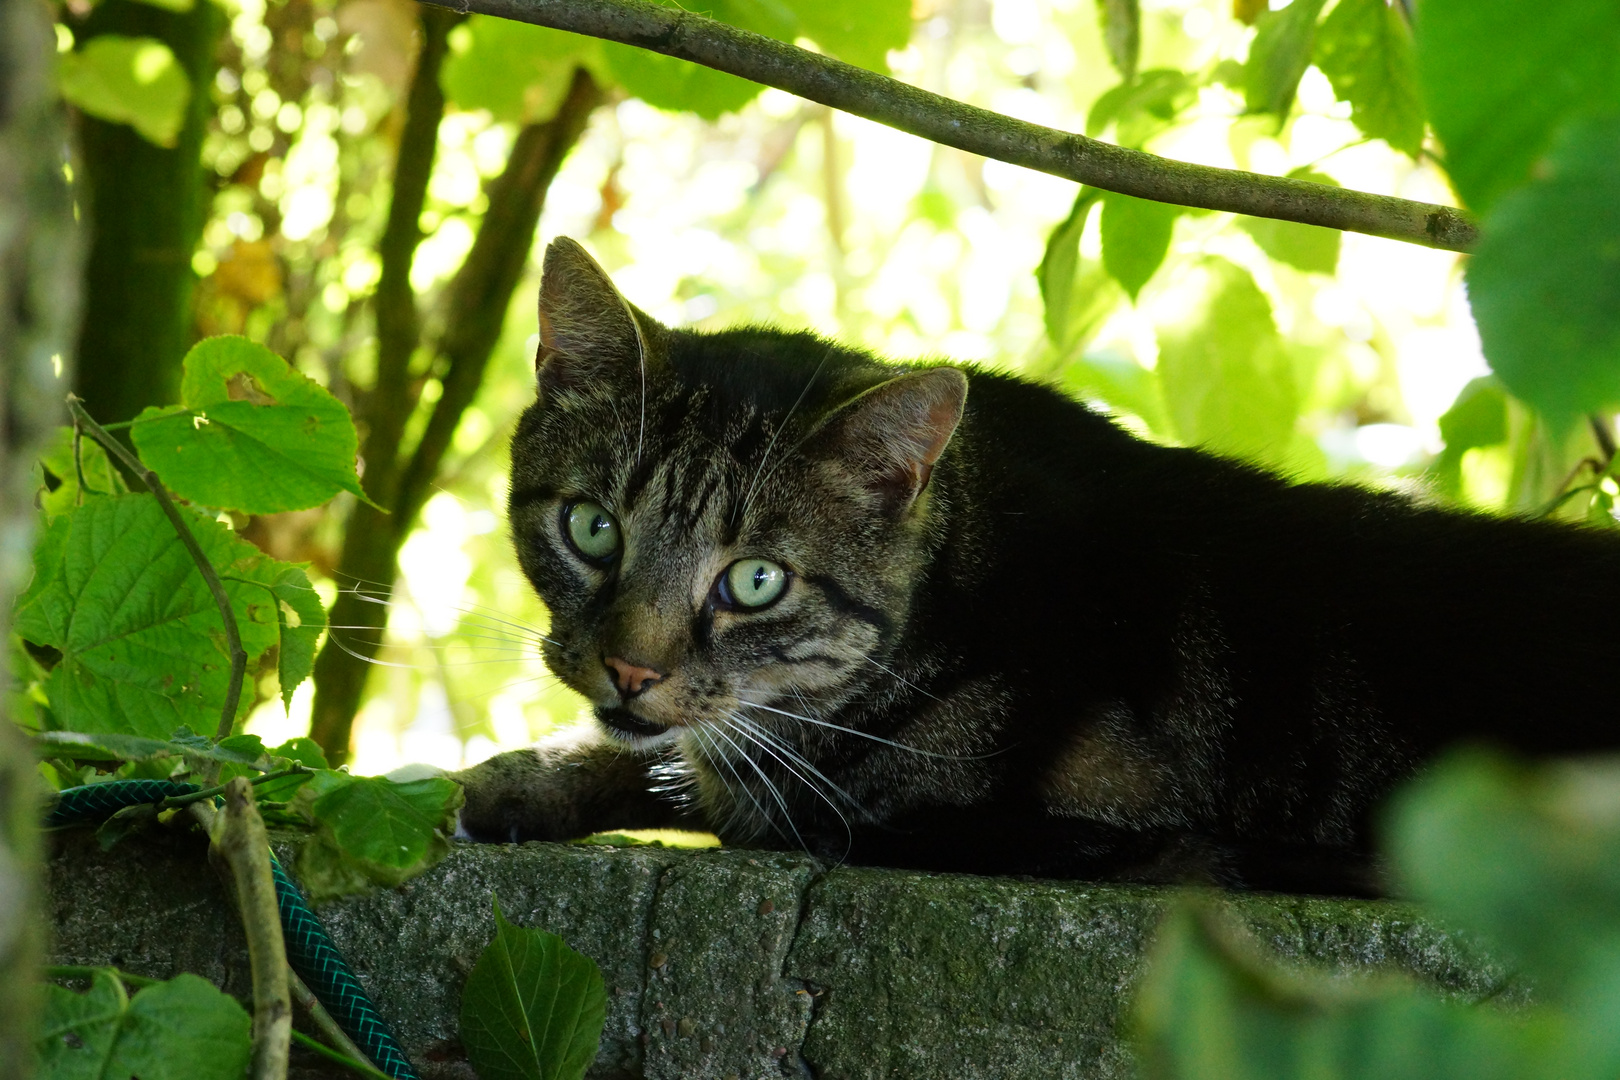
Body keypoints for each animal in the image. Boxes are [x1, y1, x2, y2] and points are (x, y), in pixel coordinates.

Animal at [453, 236, 1620, 893]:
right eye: (592, 528)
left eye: (755, 582)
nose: (629, 669)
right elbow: (662, 759)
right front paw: (516, 778)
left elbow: (764, 802)